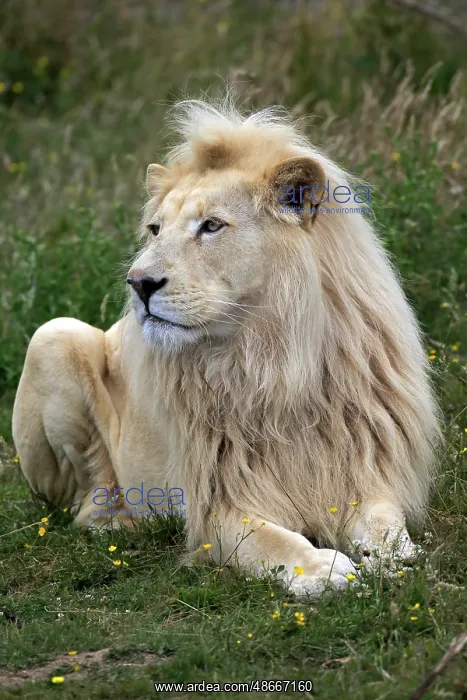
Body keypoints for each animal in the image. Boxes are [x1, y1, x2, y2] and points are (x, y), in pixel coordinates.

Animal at [12, 98, 440, 596]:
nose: (138, 283)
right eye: (155, 229)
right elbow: (272, 542)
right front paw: (321, 569)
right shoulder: (217, 504)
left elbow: (385, 522)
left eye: (211, 225)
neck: (273, 361)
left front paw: (399, 558)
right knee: (86, 498)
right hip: (54, 336)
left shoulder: (364, 473)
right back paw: (119, 520)